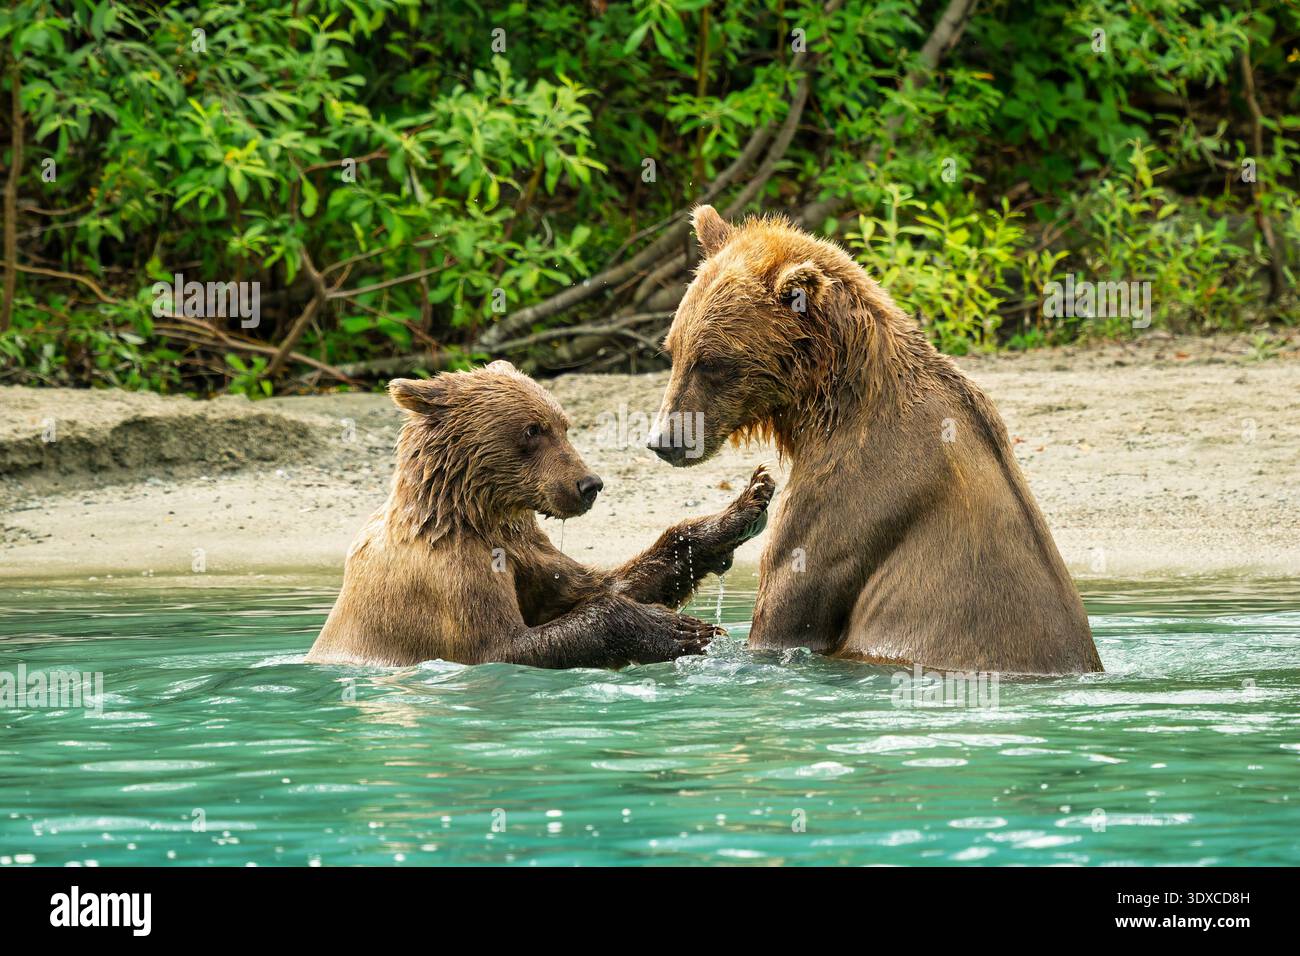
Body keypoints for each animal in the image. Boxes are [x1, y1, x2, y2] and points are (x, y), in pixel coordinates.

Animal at [306, 361, 775, 668]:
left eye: (564, 425)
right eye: (533, 429)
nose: (589, 484)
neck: (470, 514)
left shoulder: (522, 550)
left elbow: (601, 585)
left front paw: (746, 505)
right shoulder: (448, 578)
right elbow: (506, 646)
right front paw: (680, 629)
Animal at [645, 205, 1102, 675]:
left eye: (713, 362)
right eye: (673, 349)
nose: (663, 439)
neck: (827, 406)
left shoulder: (850, 493)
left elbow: (788, 604)